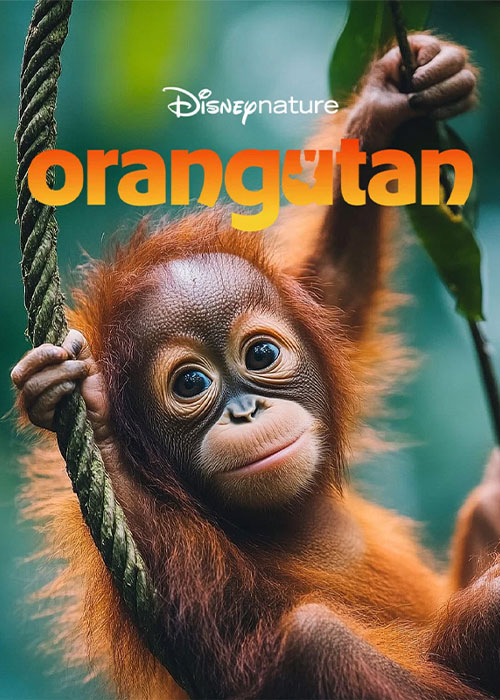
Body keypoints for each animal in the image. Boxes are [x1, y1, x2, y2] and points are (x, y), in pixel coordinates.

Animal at [12, 33, 499, 700]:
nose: (245, 410)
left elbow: (333, 289)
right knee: (317, 639)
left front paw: (388, 104)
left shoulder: (317, 307)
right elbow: (228, 641)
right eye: (191, 383)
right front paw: (93, 415)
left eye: (261, 356)